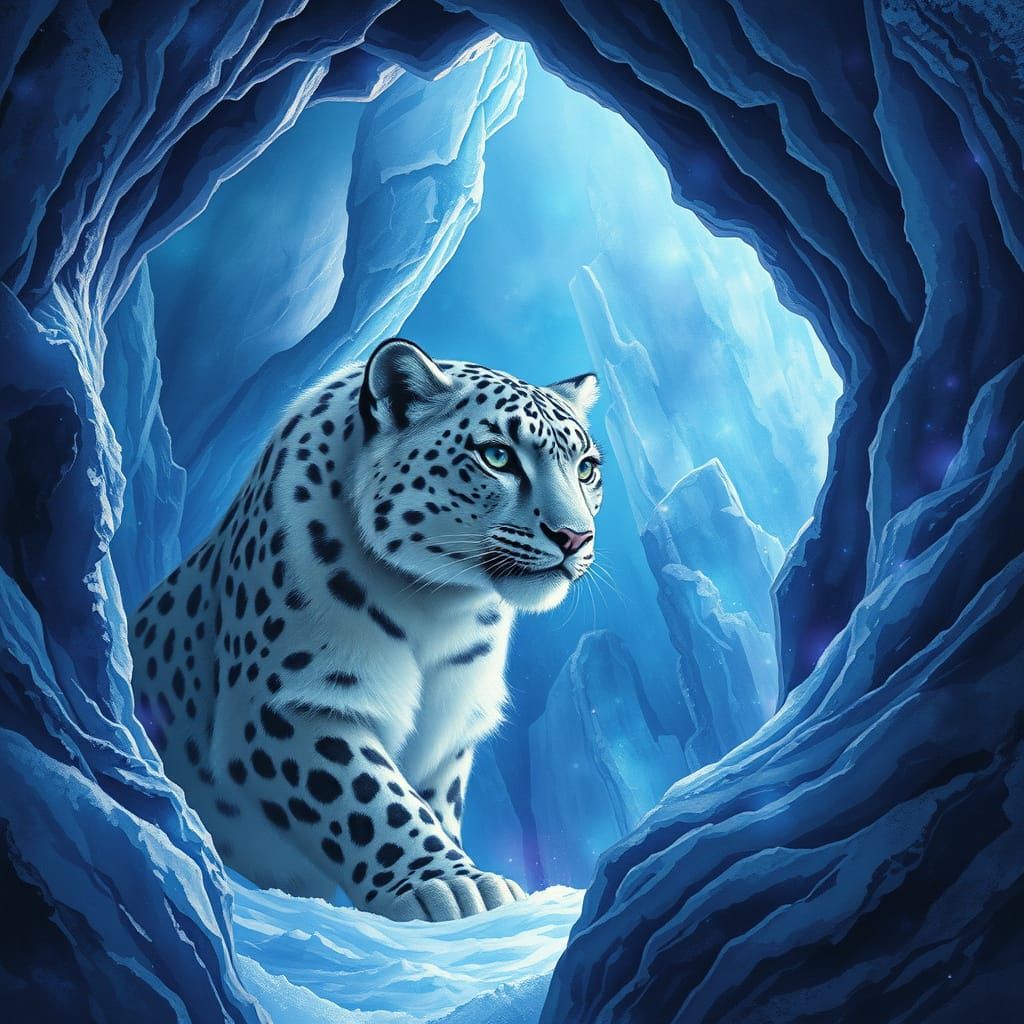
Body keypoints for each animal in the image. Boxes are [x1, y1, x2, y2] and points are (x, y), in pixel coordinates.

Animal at [129, 337, 602, 922]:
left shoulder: (450, 730)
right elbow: (377, 803)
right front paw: (454, 886)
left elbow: (429, 802)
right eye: (497, 456)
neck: (443, 607)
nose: (575, 537)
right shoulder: (289, 702)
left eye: (586, 468)